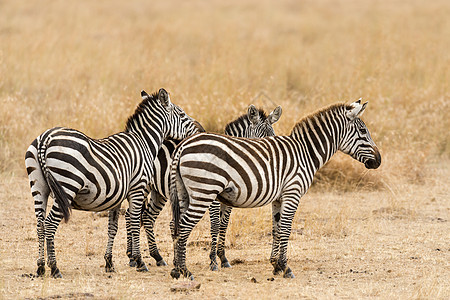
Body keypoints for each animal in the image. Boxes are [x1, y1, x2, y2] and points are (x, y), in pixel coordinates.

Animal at [24, 88, 197, 278]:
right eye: (182, 114)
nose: (200, 130)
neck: (144, 142)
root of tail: (45, 138)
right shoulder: (137, 188)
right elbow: (135, 222)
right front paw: (139, 261)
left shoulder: (117, 196)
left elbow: (112, 227)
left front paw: (109, 262)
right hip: (67, 185)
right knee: (49, 224)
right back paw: (54, 268)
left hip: (39, 187)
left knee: (40, 224)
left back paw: (40, 267)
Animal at [125, 103, 284, 270]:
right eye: (260, 137)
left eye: (273, 135)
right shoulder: (212, 199)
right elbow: (215, 225)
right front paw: (213, 260)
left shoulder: (228, 202)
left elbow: (223, 225)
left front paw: (223, 258)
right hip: (144, 186)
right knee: (130, 215)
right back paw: (133, 257)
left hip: (159, 192)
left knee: (147, 217)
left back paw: (157, 257)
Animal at [169, 99, 380, 280]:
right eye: (363, 131)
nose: (378, 161)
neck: (305, 152)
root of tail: (183, 144)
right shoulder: (292, 193)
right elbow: (286, 229)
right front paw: (286, 267)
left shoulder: (279, 198)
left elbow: (276, 229)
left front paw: (275, 265)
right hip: (204, 192)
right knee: (185, 225)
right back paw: (185, 271)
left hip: (184, 193)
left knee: (177, 225)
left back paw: (176, 269)